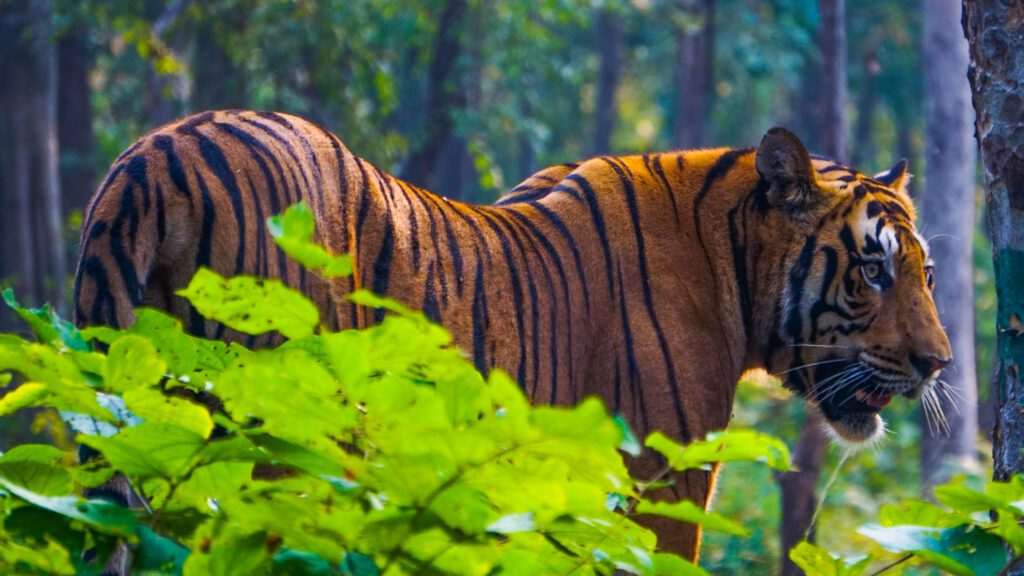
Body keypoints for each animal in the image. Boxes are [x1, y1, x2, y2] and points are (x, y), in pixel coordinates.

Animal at [72, 109, 950, 557]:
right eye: (873, 271)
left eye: (928, 275)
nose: (938, 363)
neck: (731, 259)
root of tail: (156, 154)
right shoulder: (662, 478)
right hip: (276, 437)